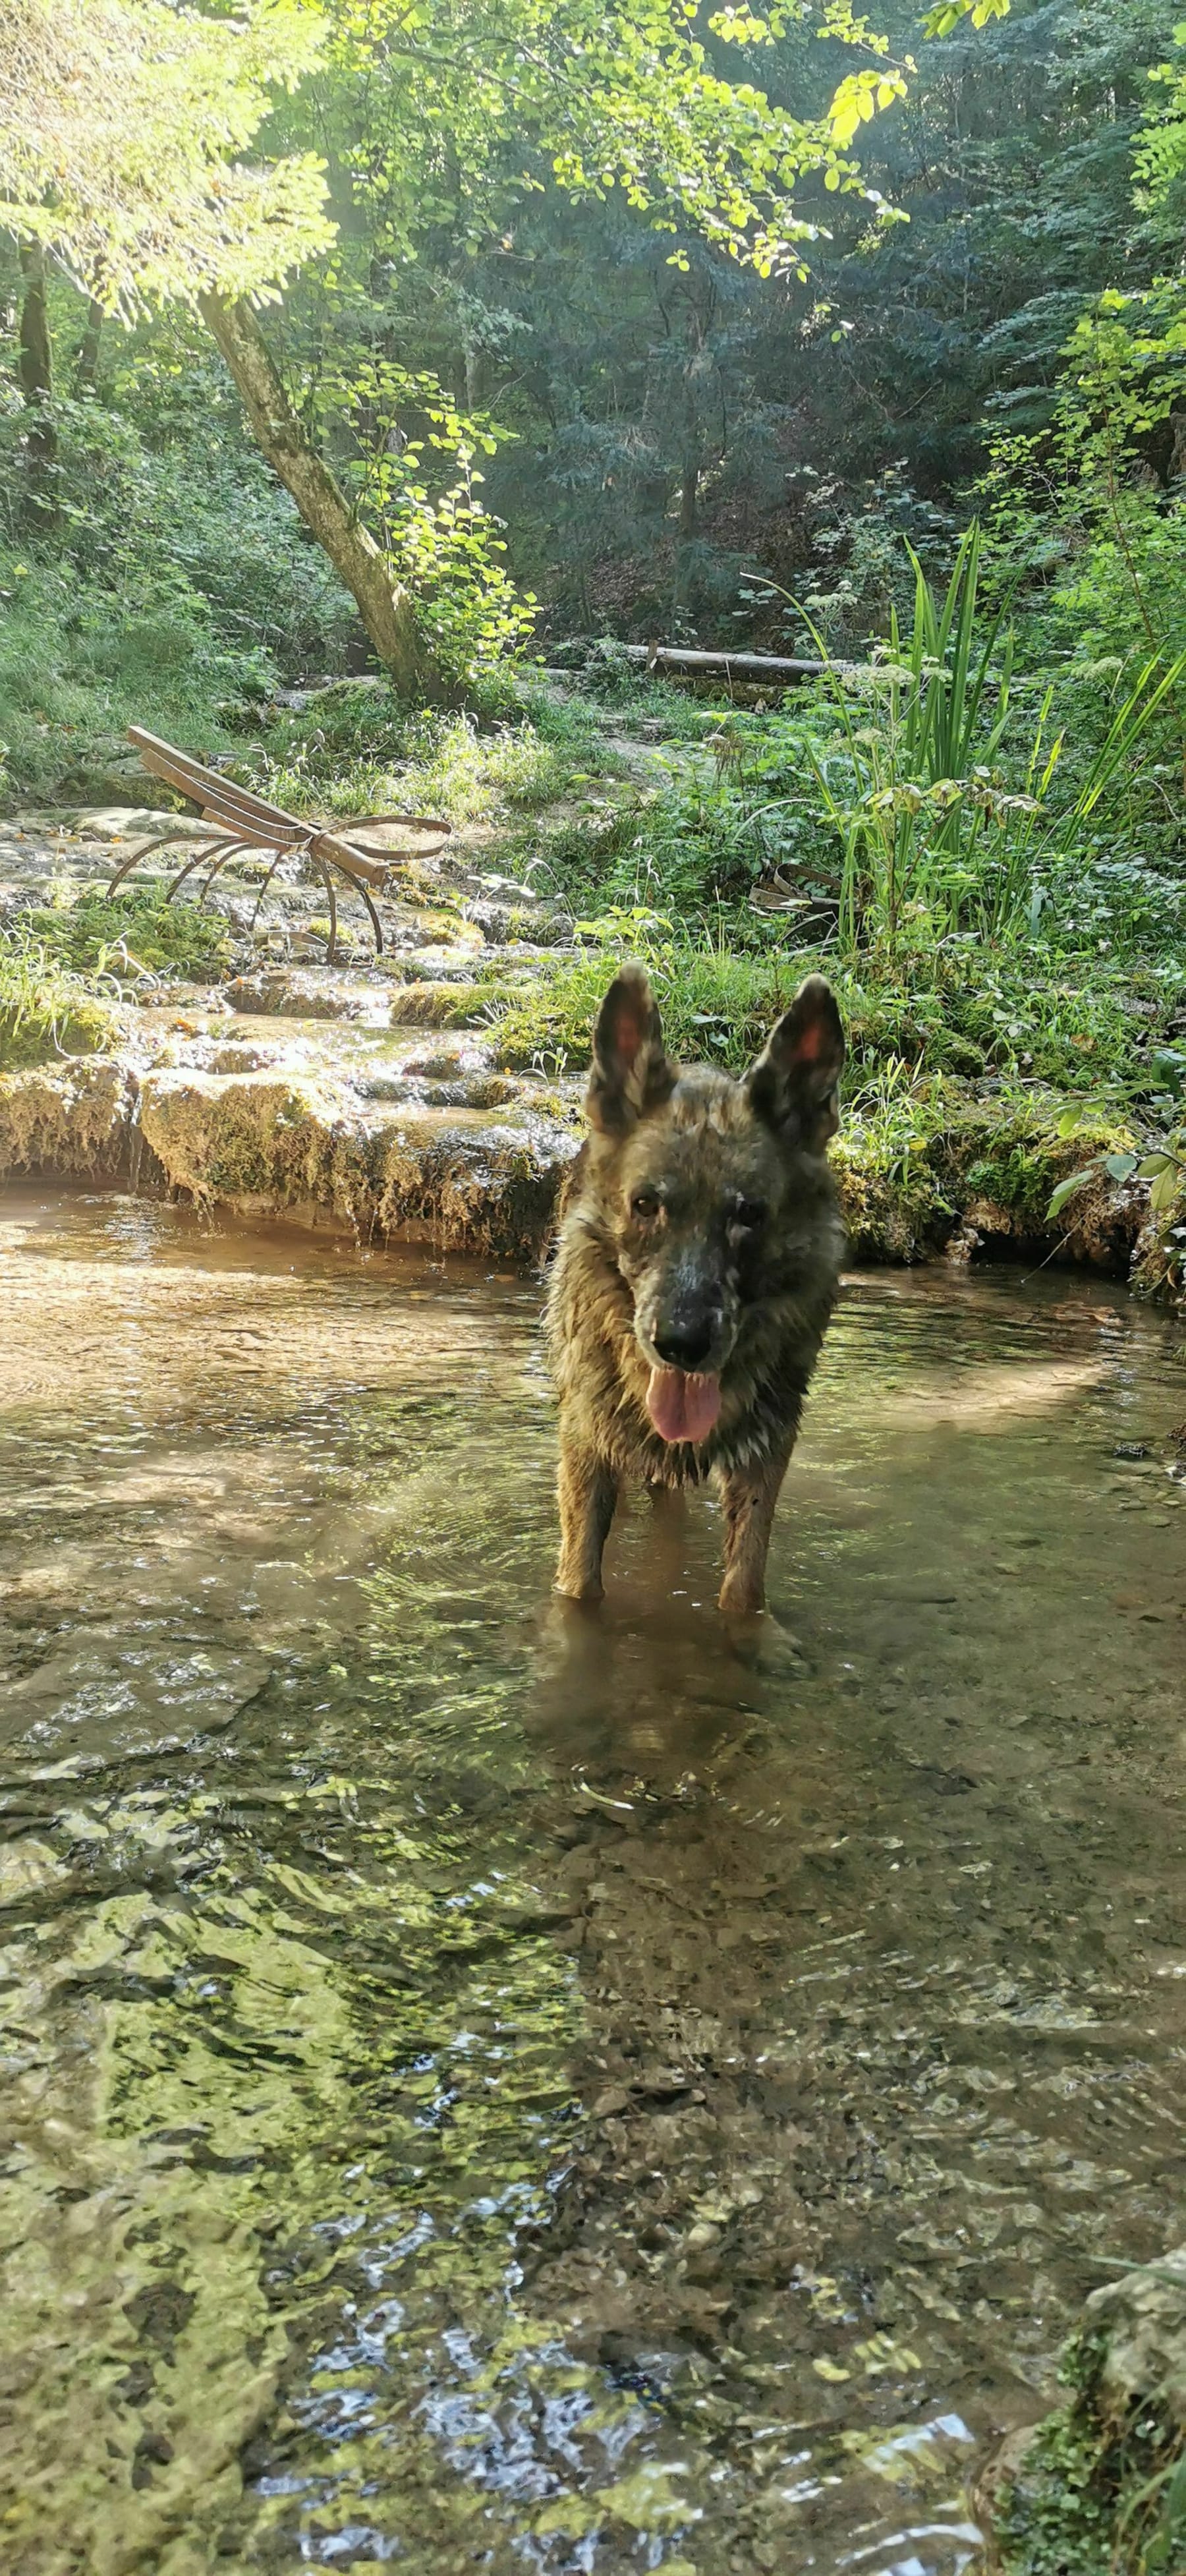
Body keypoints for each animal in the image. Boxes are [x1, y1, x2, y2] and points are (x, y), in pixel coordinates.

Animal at [546, 968, 845, 1607]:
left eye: (749, 1215)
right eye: (645, 1205)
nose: (681, 1344)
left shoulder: (767, 1453)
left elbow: (744, 1585)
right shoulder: (586, 1444)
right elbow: (580, 1583)